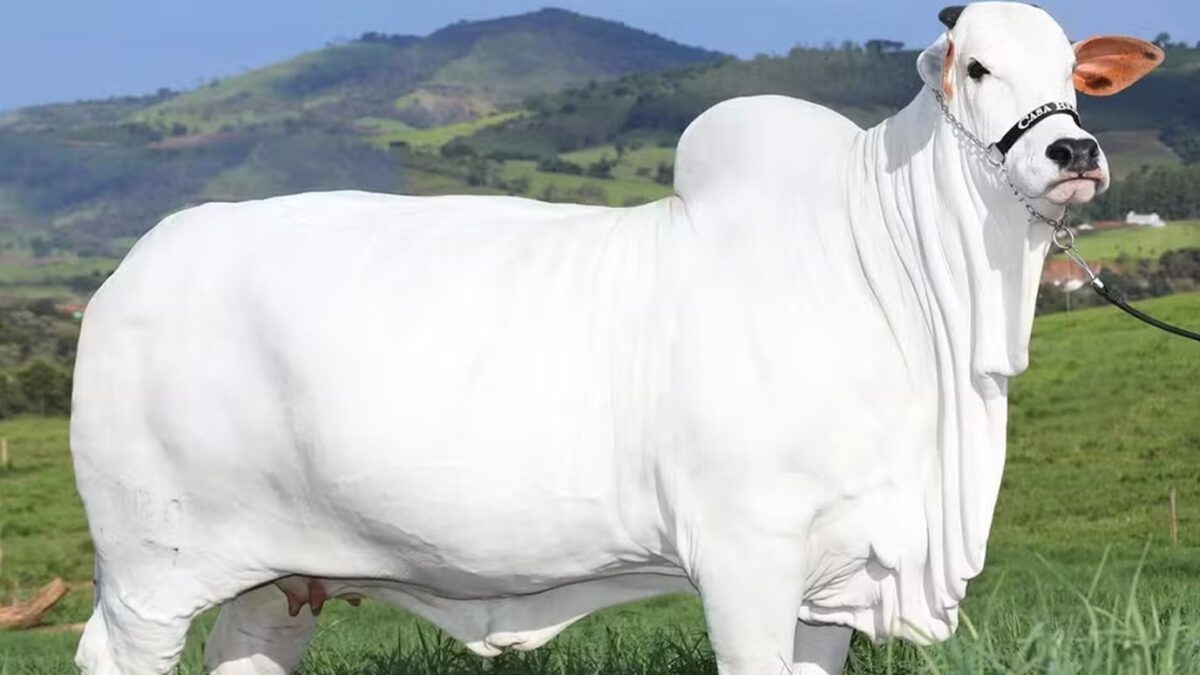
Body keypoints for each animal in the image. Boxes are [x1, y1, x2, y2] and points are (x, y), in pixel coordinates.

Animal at [70, 4, 1162, 674]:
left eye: (1075, 73)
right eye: (976, 65)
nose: (1075, 151)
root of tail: (131, 271)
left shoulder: (834, 580)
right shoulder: (745, 557)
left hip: (279, 578)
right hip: (151, 569)